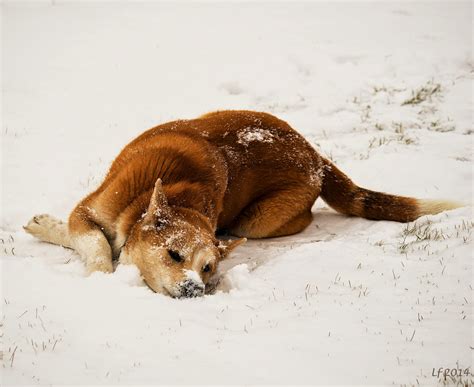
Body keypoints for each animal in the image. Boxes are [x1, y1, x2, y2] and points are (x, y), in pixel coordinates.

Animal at [24, 110, 462, 298]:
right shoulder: (88, 211)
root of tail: (316, 157)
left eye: (208, 268)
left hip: (256, 221)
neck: (179, 197)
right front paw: (94, 266)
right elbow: (94, 241)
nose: (195, 289)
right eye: (173, 254)